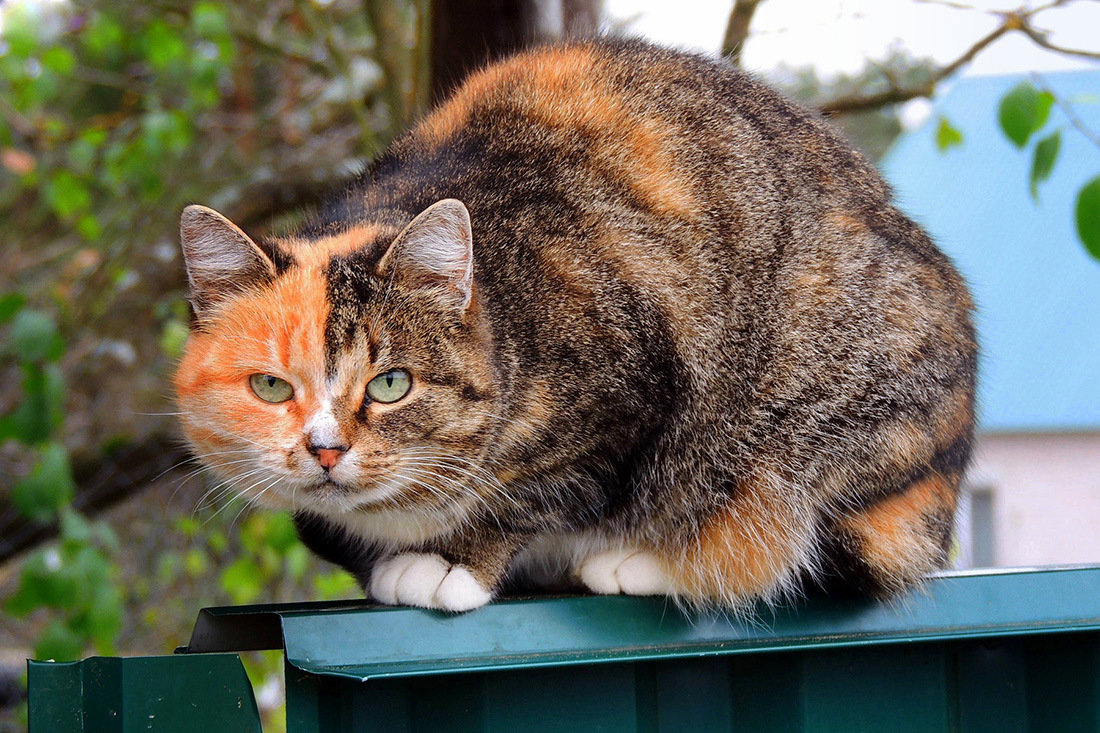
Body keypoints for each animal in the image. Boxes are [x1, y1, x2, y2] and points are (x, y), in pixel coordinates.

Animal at [176, 38, 976, 611]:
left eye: (391, 383)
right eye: (272, 387)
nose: (326, 449)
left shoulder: (628, 397)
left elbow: (538, 491)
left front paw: (451, 563)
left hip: (823, 401)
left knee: (789, 544)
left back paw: (646, 560)